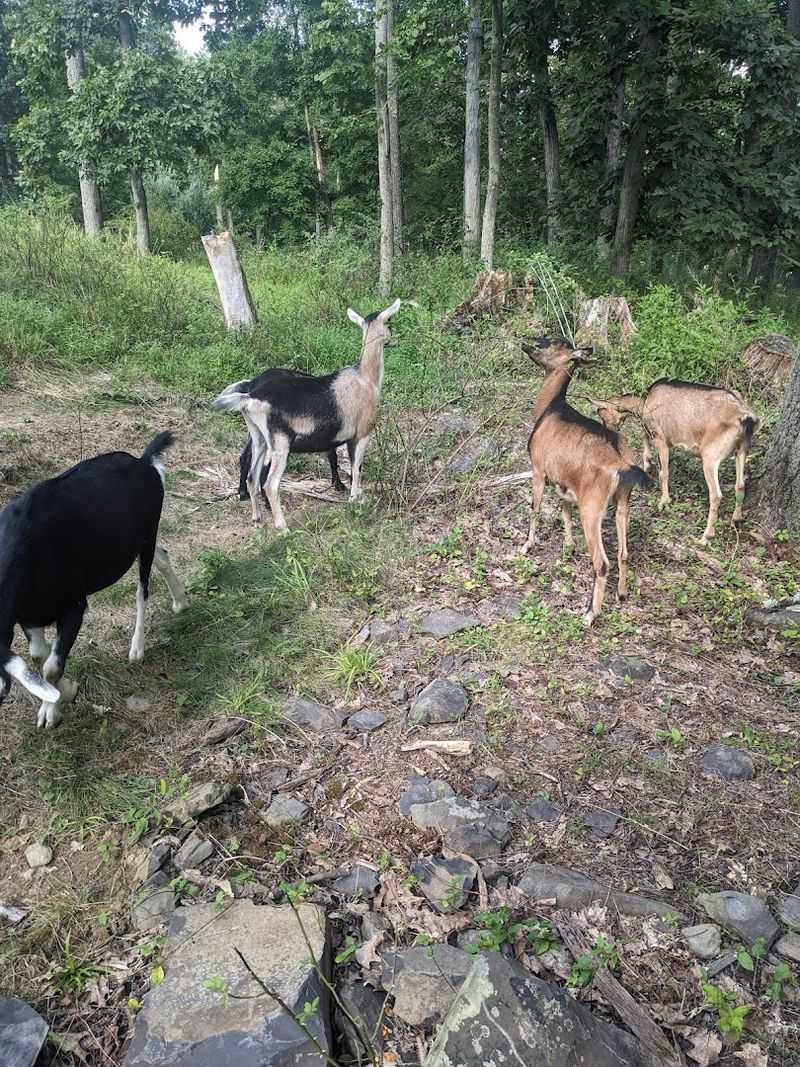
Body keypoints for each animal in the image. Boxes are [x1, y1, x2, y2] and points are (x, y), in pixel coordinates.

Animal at [0, 432, 188, 728]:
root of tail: (143, 462)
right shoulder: (27, 615)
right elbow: (40, 656)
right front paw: (59, 695)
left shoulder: (74, 606)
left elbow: (51, 666)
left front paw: (55, 707)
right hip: (138, 540)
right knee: (163, 555)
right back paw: (181, 601)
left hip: (148, 532)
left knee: (142, 590)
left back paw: (137, 647)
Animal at [212, 299, 402, 530]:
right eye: (390, 323)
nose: (395, 340)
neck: (366, 378)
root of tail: (250, 395)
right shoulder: (362, 433)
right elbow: (357, 468)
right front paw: (355, 500)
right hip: (280, 443)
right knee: (270, 483)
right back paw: (282, 527)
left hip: (259, 437)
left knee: (251, 476)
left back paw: (257, 519)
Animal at [523, 336, 651, 626]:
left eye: (552, 343)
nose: (528, 344)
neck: (550, 408)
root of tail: (621, 463)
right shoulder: (565, 485)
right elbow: (564, 512)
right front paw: (568, 548)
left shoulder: (538, 469)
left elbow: (535, 508)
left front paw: (527, 545)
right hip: (624, 501)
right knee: (623, 553)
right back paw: (621, 594)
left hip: (592, 509)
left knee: (602, 562)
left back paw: (590, 614)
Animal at [591, 380, 759, 545]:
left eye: (602, 414)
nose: (608, 433)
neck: (645, 401)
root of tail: (746, 418)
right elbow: (645, 436)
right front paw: (647, 464)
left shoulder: (661, 438)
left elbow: (664, 472)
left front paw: (664, 501)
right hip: (742, 449)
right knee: (740, 484)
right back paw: (736, 519)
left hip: (711, 456)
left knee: (716, 494)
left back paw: (705, 537)